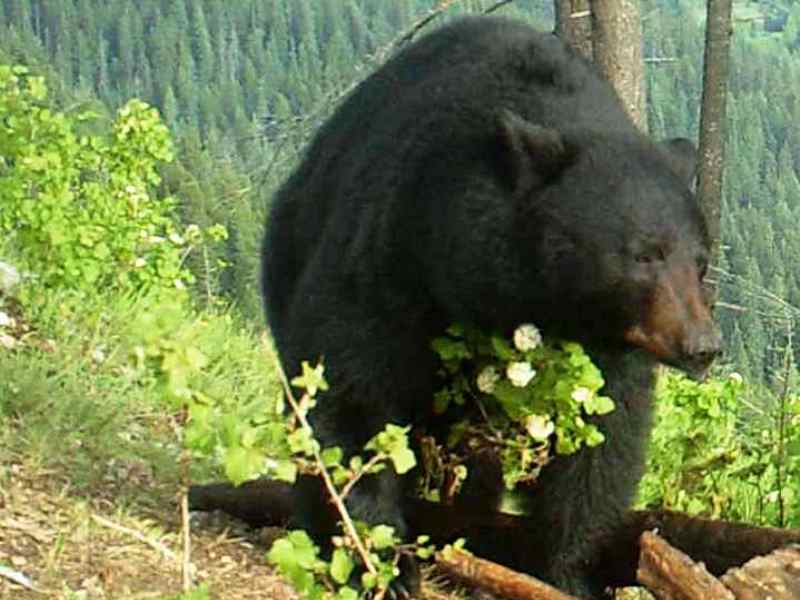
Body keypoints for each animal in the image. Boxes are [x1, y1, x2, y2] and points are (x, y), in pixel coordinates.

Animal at [261, 15, 721, 598]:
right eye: (645, 254)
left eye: (700, 261)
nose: (703, 346)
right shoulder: (392, 248)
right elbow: (348, 388)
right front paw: (380, 562)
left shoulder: (604, 355)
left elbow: (600, 445)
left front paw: (566, 569)